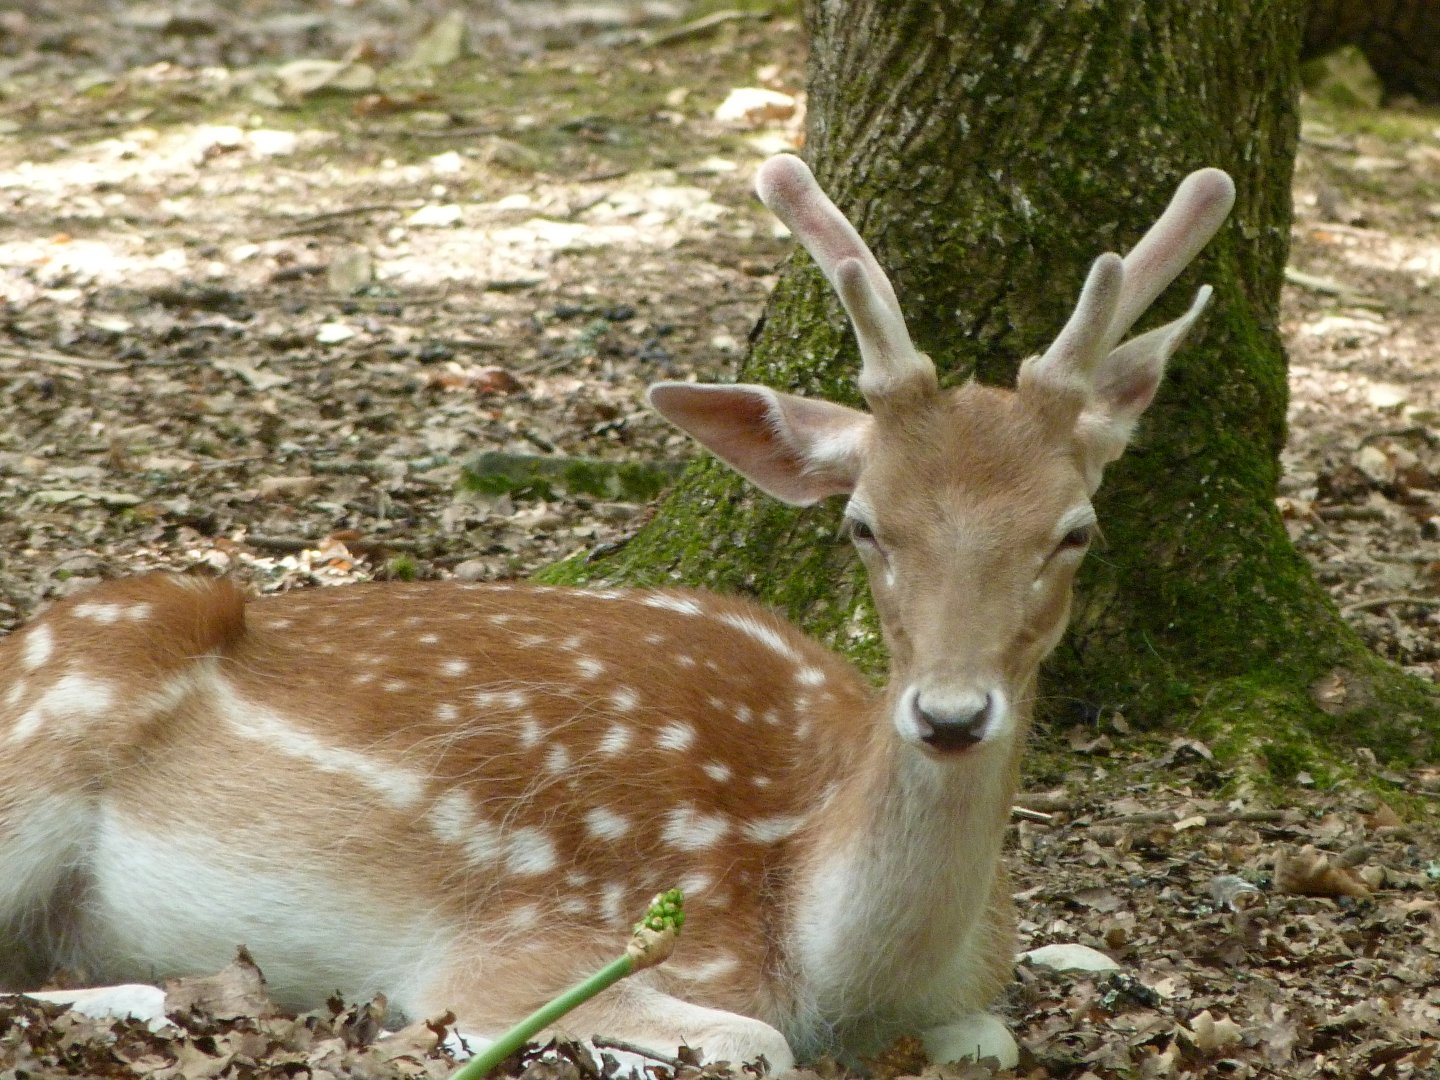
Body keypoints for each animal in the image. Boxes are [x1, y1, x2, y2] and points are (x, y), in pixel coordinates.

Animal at [0, 154, 1233, 1071]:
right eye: (864, 525)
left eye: (1075, 529)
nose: (950, 715)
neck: (837, 963)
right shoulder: (524, 944)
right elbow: (751, 1044)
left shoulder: (970, 995)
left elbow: (990, 1040)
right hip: (36, 747)